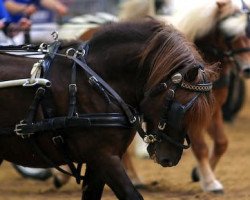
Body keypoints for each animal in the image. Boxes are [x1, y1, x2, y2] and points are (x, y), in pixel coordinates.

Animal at [0, 19, 215, 200]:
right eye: (179, 109)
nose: (169, 159)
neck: (96, 81)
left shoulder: (99, 162)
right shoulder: (104, 157)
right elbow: (132, 196)